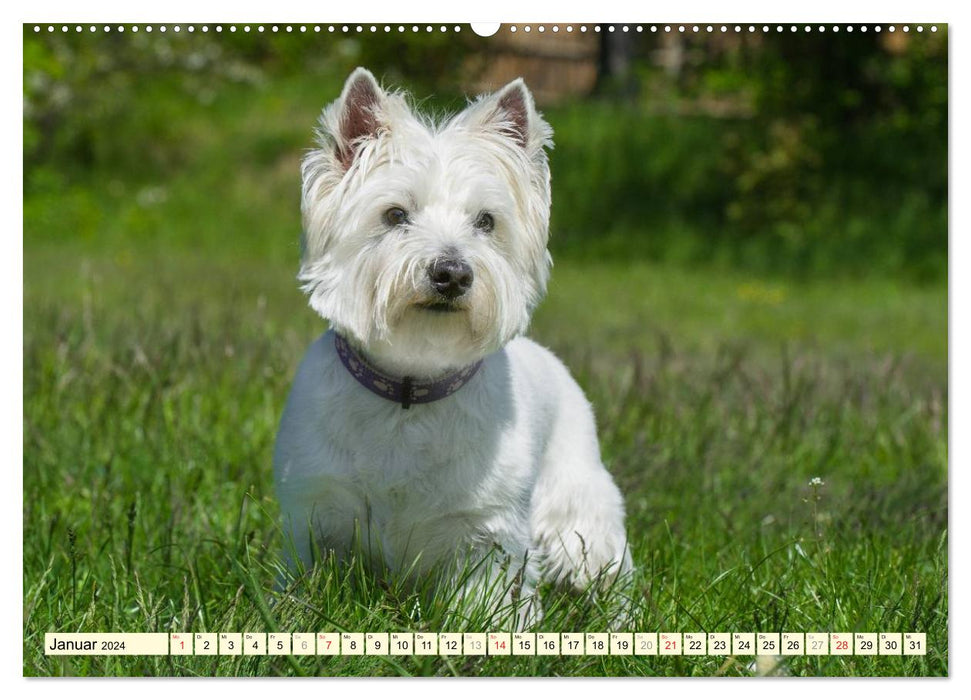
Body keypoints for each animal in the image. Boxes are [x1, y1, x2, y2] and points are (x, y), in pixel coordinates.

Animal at [276, 65, 636, 624]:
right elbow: (309, 583)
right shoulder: (316, 512)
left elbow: (484, 605)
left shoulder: (487, 533)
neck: (410, 389)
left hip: (581, 508)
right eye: (395, 214)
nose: (452, 273)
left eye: (486, 221)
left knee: (601, 568)